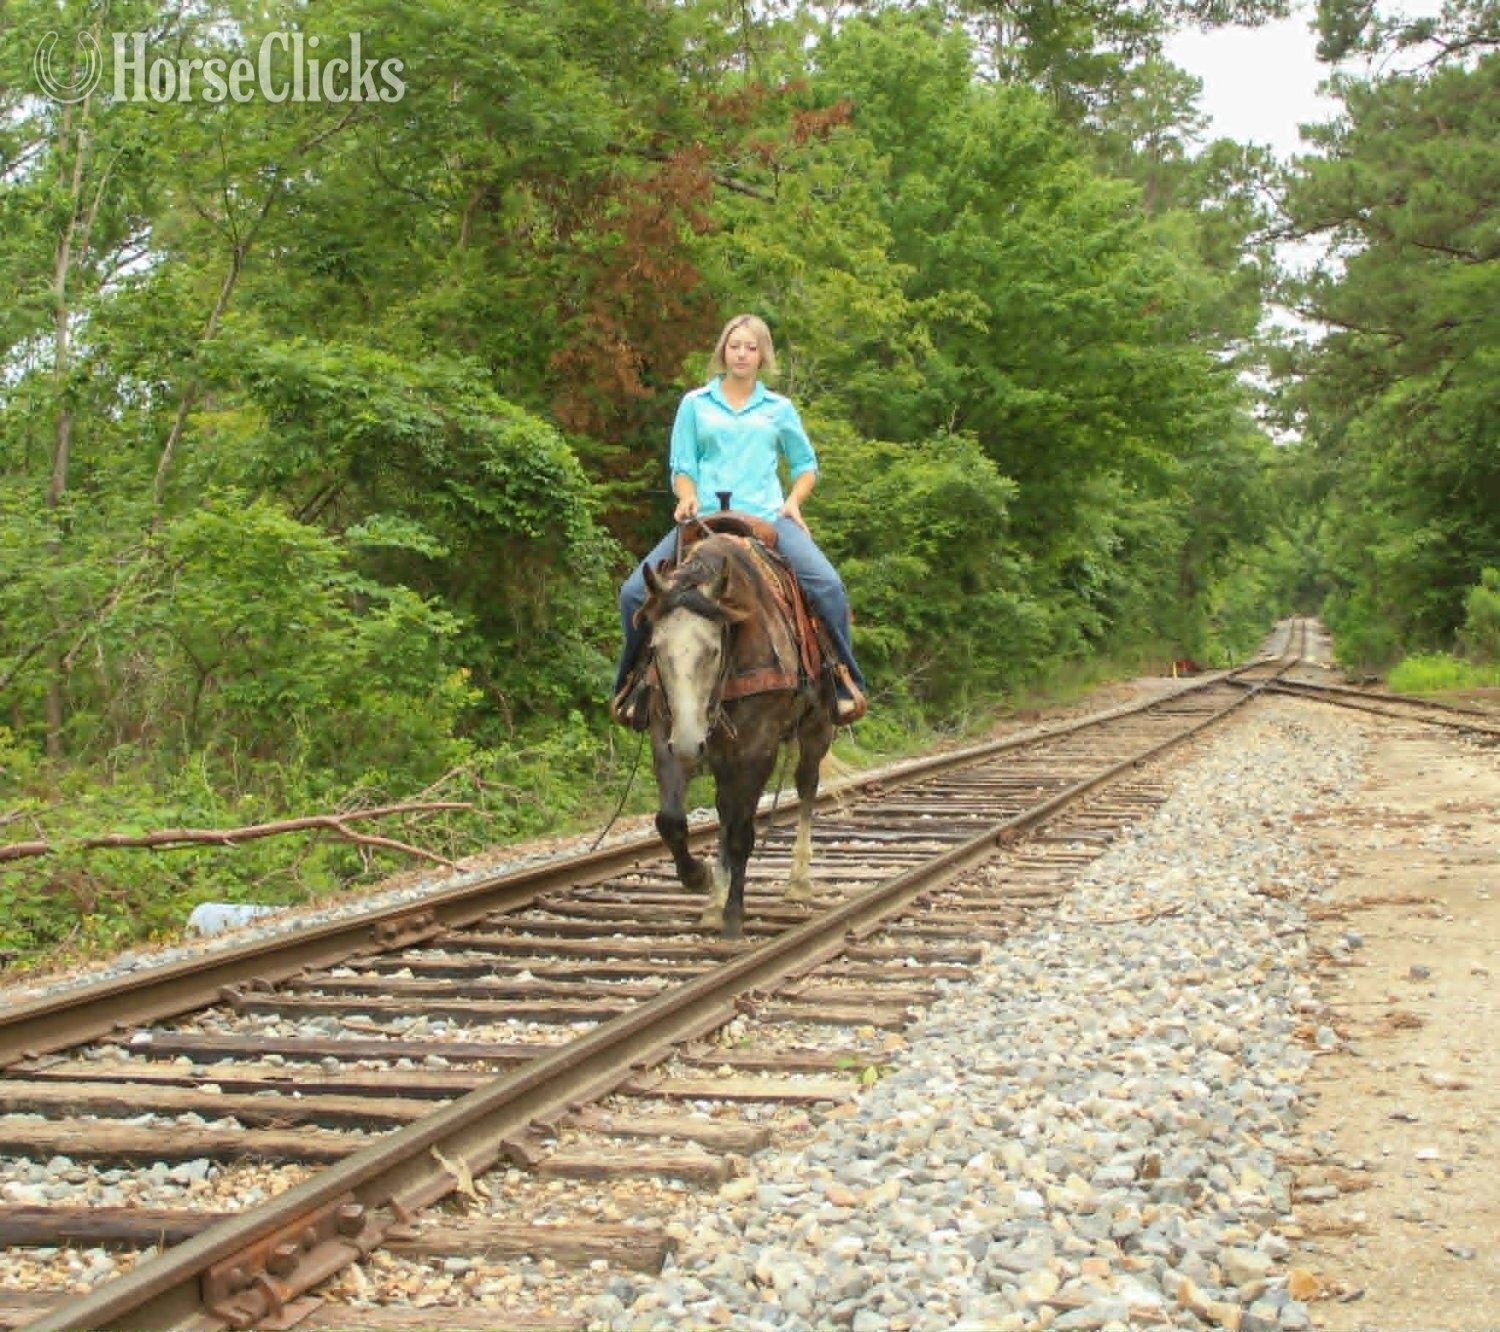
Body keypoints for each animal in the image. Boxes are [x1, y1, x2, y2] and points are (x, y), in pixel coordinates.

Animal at [635, 521, 836, 940]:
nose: (689, 745)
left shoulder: (758, 746)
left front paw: (733, 916)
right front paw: (699, 878)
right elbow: (671, 820)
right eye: (656, 648)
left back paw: (797, 882)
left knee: (806, 786)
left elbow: (744, 831)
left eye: (713, 650)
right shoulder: (667, 733)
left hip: (817, 727)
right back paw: (713, 901)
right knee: (725, 809)